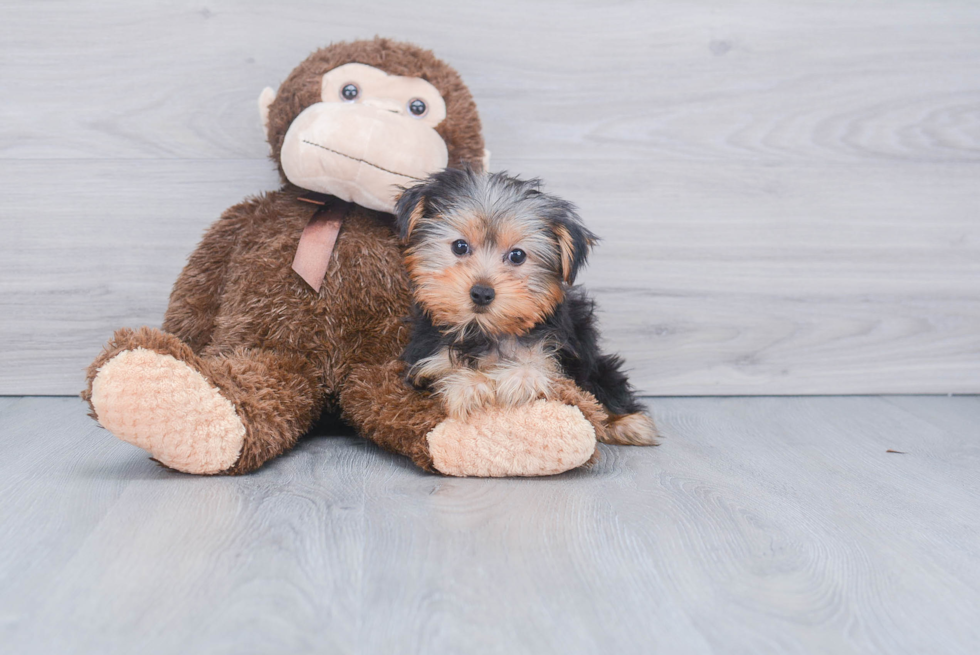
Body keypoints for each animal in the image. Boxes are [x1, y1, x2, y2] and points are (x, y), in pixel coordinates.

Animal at [392, 167, 660, 448]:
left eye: (517, 255)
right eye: (460, 246)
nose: (482, 293)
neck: (484, 332)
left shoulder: (558, 348)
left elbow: (541, 360)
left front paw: (521, 378)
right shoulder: (426, 358)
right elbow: (443, 370)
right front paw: (469, 386)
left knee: (603, 381)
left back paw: (627, 423)